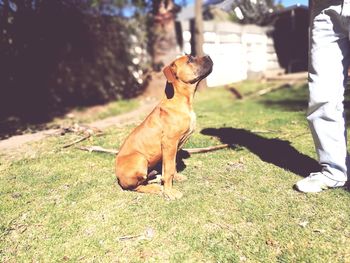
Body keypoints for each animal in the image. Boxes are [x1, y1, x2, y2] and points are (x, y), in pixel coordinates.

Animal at [116, 55, 212, 200]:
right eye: (190, 59)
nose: (208, 56)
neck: (180, 100)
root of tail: (117, 175)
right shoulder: (169, 143)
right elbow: (169, 169)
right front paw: (169, 191)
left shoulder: (172, 148)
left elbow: (171, 166)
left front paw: (175, 178)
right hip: (140, 159)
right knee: (135, 187)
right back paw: (154, 188)